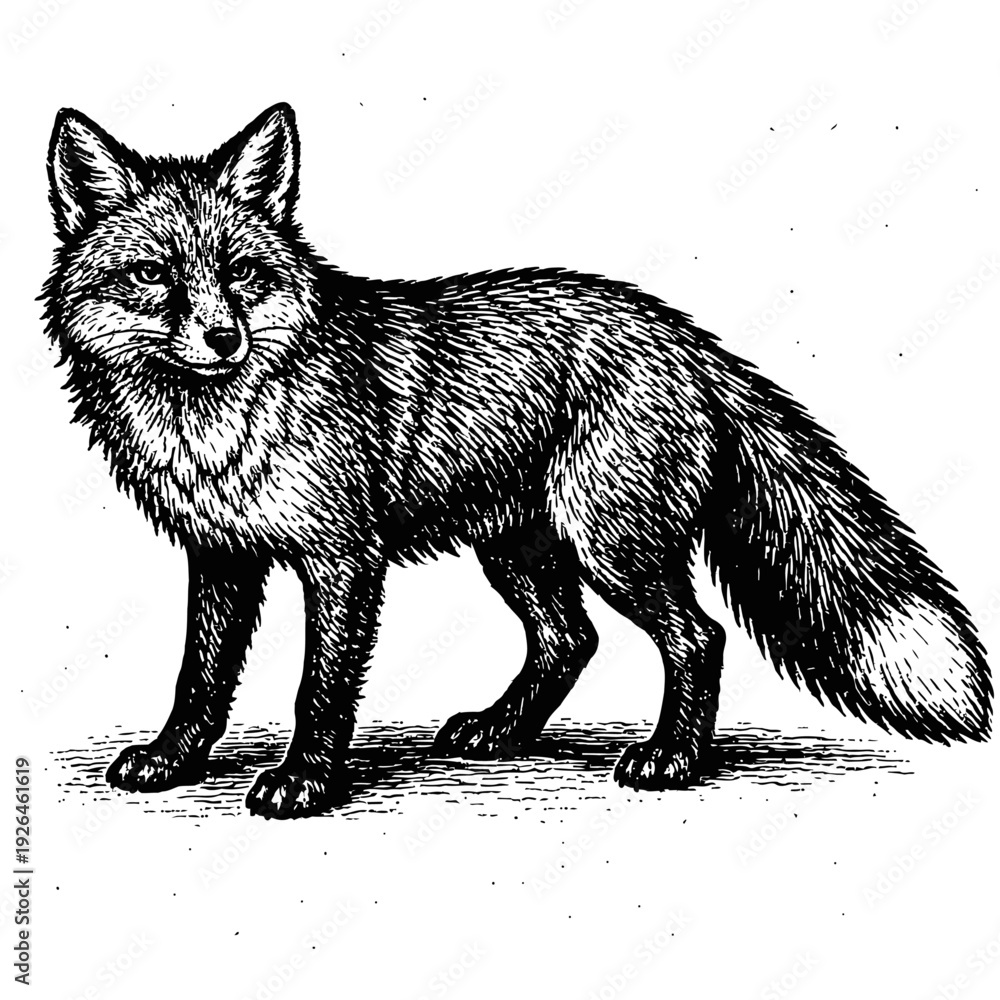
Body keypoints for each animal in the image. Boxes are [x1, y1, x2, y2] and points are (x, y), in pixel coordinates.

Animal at [43, 103, 991, 818]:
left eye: (241, 273)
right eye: (152, 276)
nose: (222, 337)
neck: (216, 426)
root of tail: (684, 333)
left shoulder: (343, 559)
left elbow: (322, 689)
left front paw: (307, 780)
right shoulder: (222, 555)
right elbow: (200, 679)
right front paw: (173, 760)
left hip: (612, 546)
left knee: (697, 636)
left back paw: (672, 759)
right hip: (521, 549)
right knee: (570, 640)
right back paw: (502, 731)